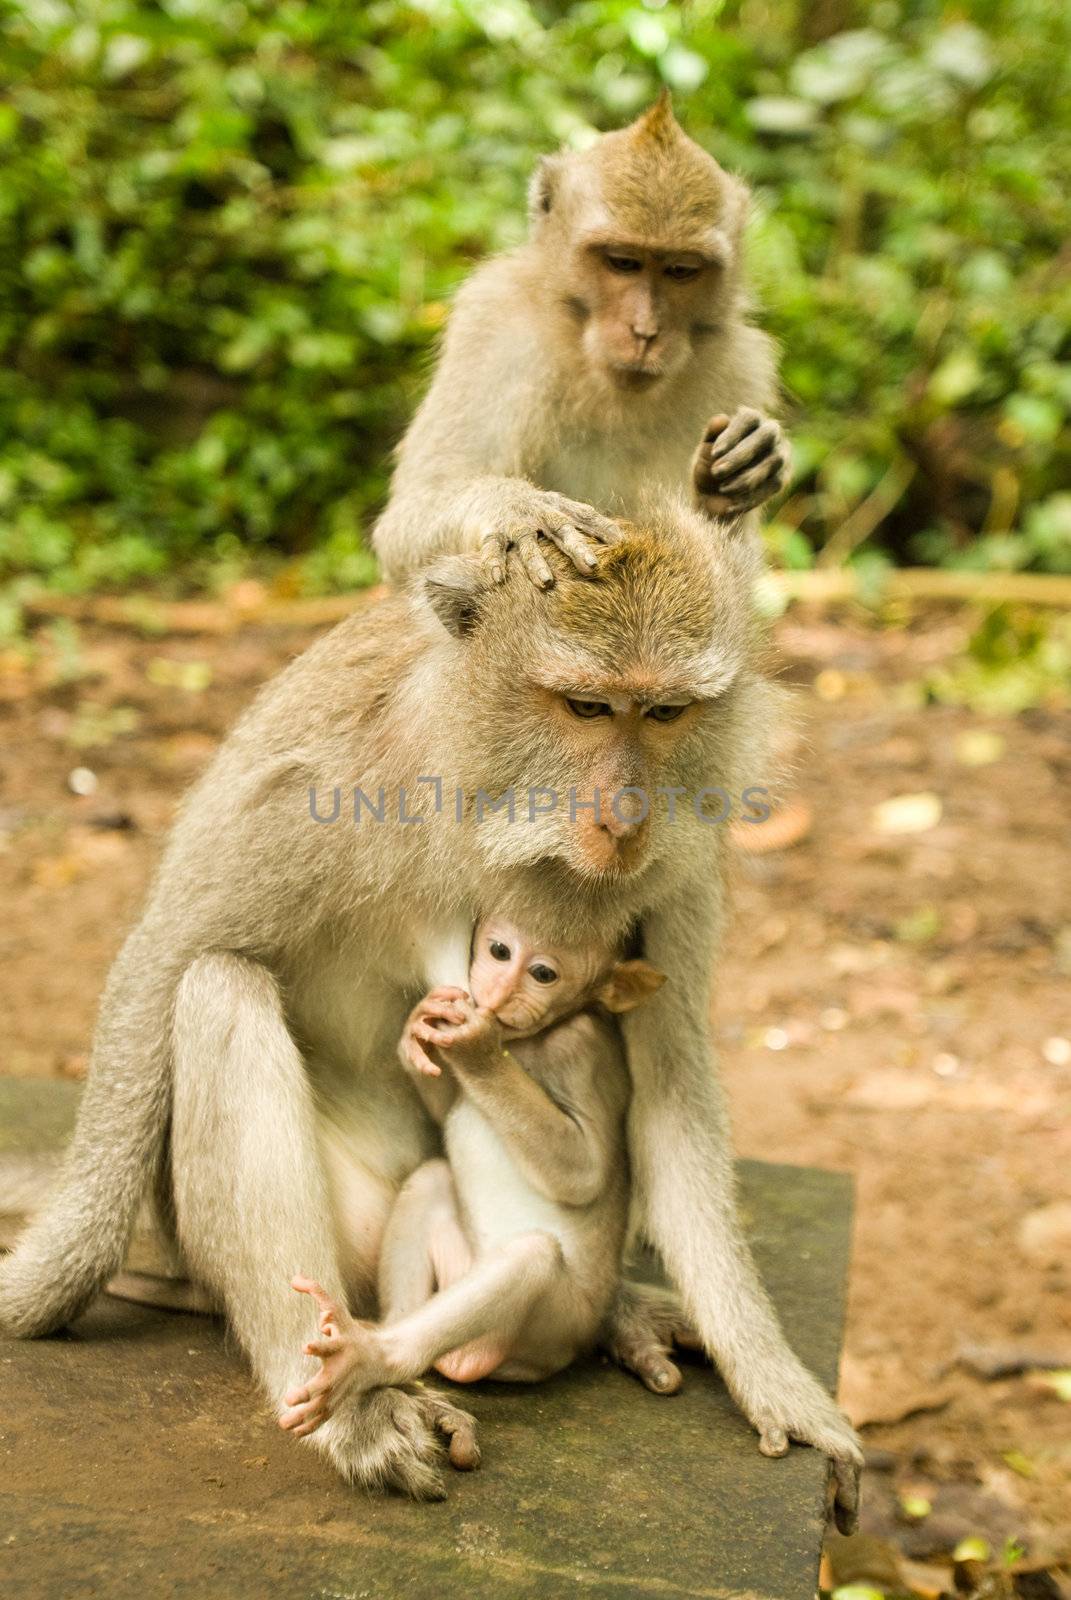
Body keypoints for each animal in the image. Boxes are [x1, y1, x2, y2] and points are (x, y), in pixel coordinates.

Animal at [280, 915, 672, 1452]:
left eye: (543, 973)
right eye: (499, 950)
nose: (499, 992)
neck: (526, 1042)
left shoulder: (581, 1051)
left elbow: (584, 1172)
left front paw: (476, 1049)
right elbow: (449, 1109)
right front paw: (417, 1031)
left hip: (552, 1328)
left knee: (531, 1257)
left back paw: (375, 1358)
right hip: (462, 1265)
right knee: (431, 1178)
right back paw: (387, 1334)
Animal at [371, 90, 790, 588]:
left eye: (680, 270)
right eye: (623, 262)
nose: (645, 332)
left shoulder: (740, 363)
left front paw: (730, 475)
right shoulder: (491, 325)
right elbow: (407, 524)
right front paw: (514, 507)